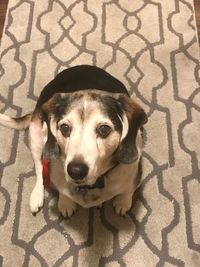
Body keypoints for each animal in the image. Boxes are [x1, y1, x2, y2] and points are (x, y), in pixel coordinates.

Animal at [0, 65, 147, 218]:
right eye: (65, 128)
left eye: (104, 129)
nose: (76, 171)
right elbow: (60, 189)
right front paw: (65, 202)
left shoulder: (134, 173)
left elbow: (128, 190)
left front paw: (123, 202)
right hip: (36, 135)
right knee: (40, 168)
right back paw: (37, 196)